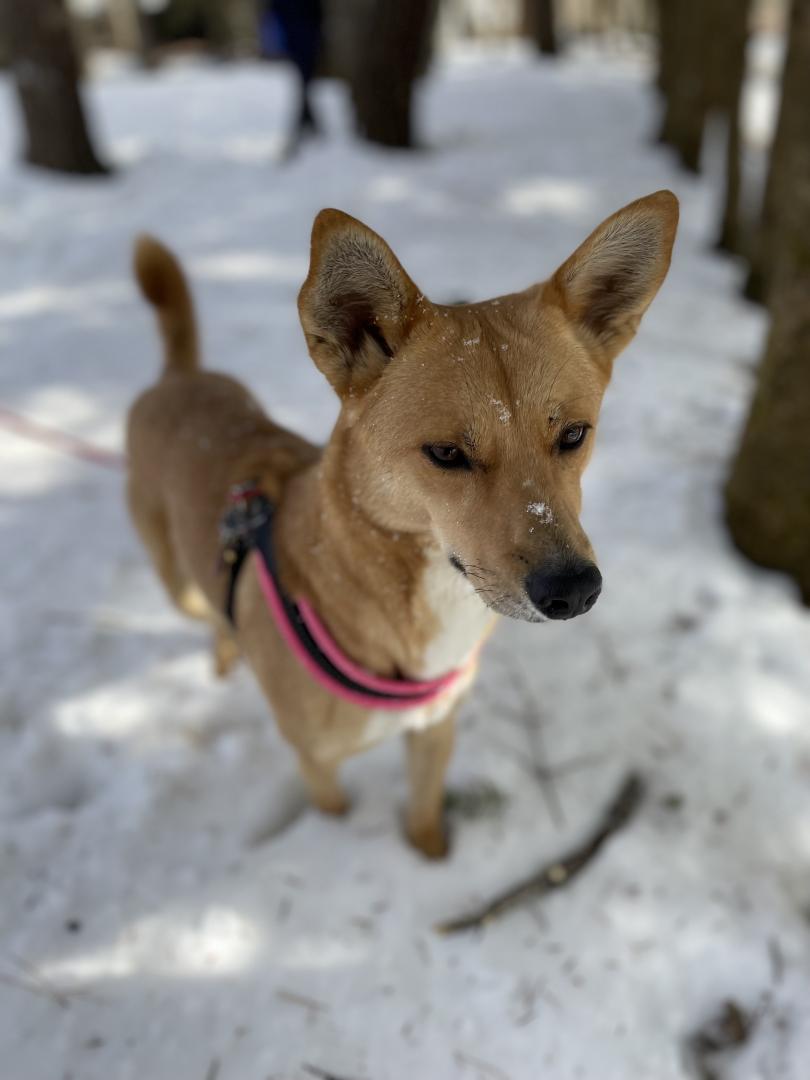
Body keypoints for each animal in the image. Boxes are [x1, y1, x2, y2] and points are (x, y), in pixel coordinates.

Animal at [128, 190, 678, 855]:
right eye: (445, 453)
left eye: (574, 434)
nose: (573, 591)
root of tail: (178, 377)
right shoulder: (318, 763)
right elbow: (333, 811)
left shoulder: (434, 732)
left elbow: (423, 819)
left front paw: (430, 859)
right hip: (177, 582)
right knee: (207, 613)